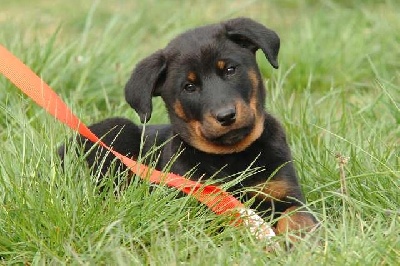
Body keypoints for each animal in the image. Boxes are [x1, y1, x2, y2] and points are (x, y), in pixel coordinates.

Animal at [57, 17, 318, 237]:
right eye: (189, 87)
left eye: (230, 69)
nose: (226, 116)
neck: (231, 156)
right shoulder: (195, 203)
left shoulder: (286, 192)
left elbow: (298, 217)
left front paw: (302, 242)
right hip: (116, 132)